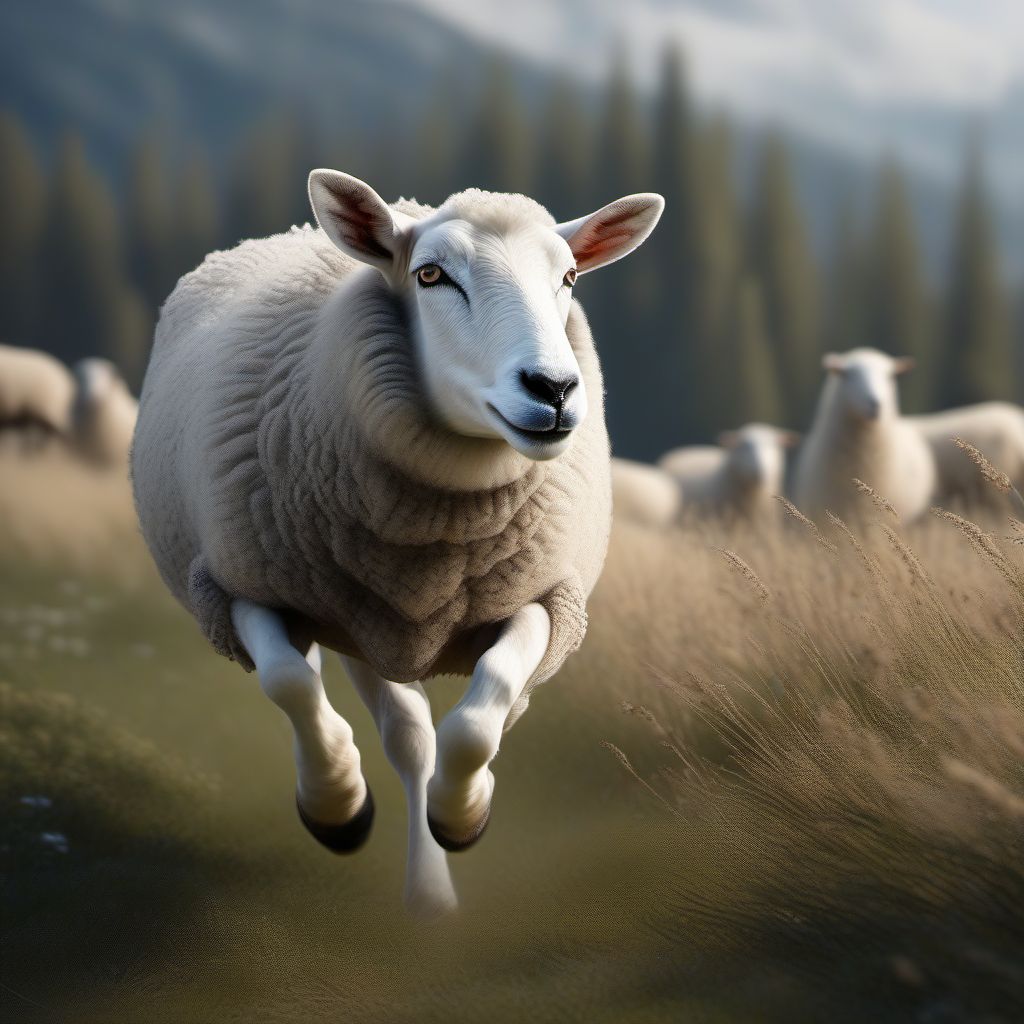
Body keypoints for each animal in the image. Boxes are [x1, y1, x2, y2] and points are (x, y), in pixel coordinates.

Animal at [130, 169, 664, 917]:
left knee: (415, 733)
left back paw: (433, 887)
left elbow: (481, 714)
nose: (553, 389)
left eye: (569, 277)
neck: (440, 525)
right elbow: (290, 684)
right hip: (349, 615)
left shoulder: (545, 599)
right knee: (392, 727)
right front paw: (338, 808)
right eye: (430, 275)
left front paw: (464, 813)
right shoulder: (237, 588)